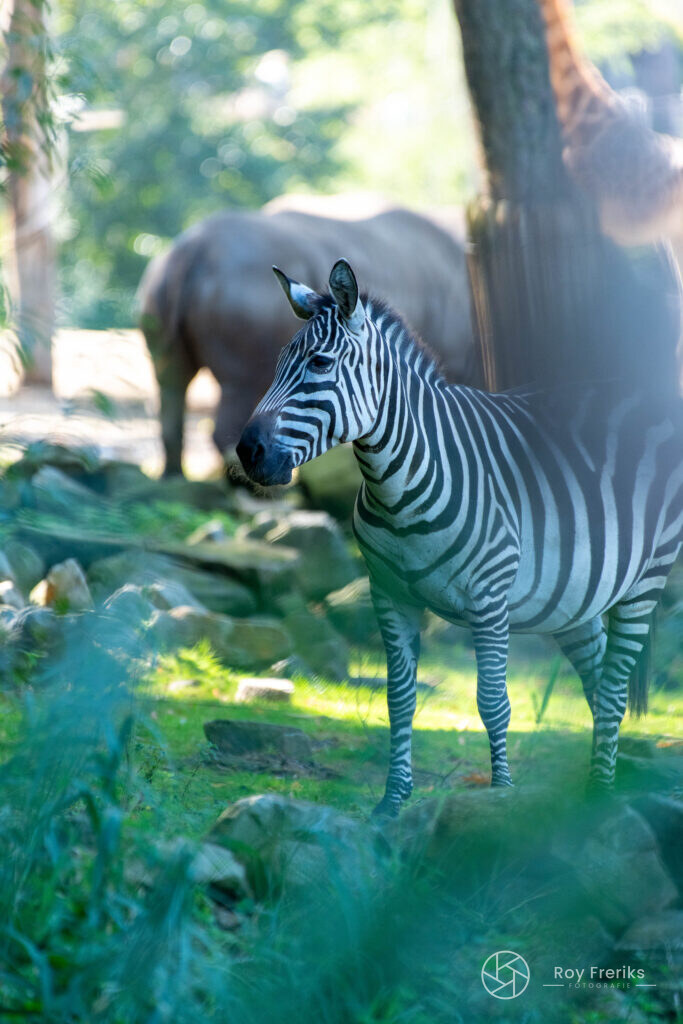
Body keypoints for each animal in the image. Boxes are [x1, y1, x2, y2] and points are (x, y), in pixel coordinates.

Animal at [237, 258, 683, 818]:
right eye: (279, 362)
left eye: (319, 364)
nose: (246, 451)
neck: (398, 484)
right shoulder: (389, 594)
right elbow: (399, 699)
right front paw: (392, 802)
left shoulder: (489, 597)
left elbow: (494, 702)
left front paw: (499, 797)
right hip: (573, 597)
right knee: (600, 683)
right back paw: (590, 799)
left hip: (646, 579)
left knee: (616, 685)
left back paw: (602, 797)